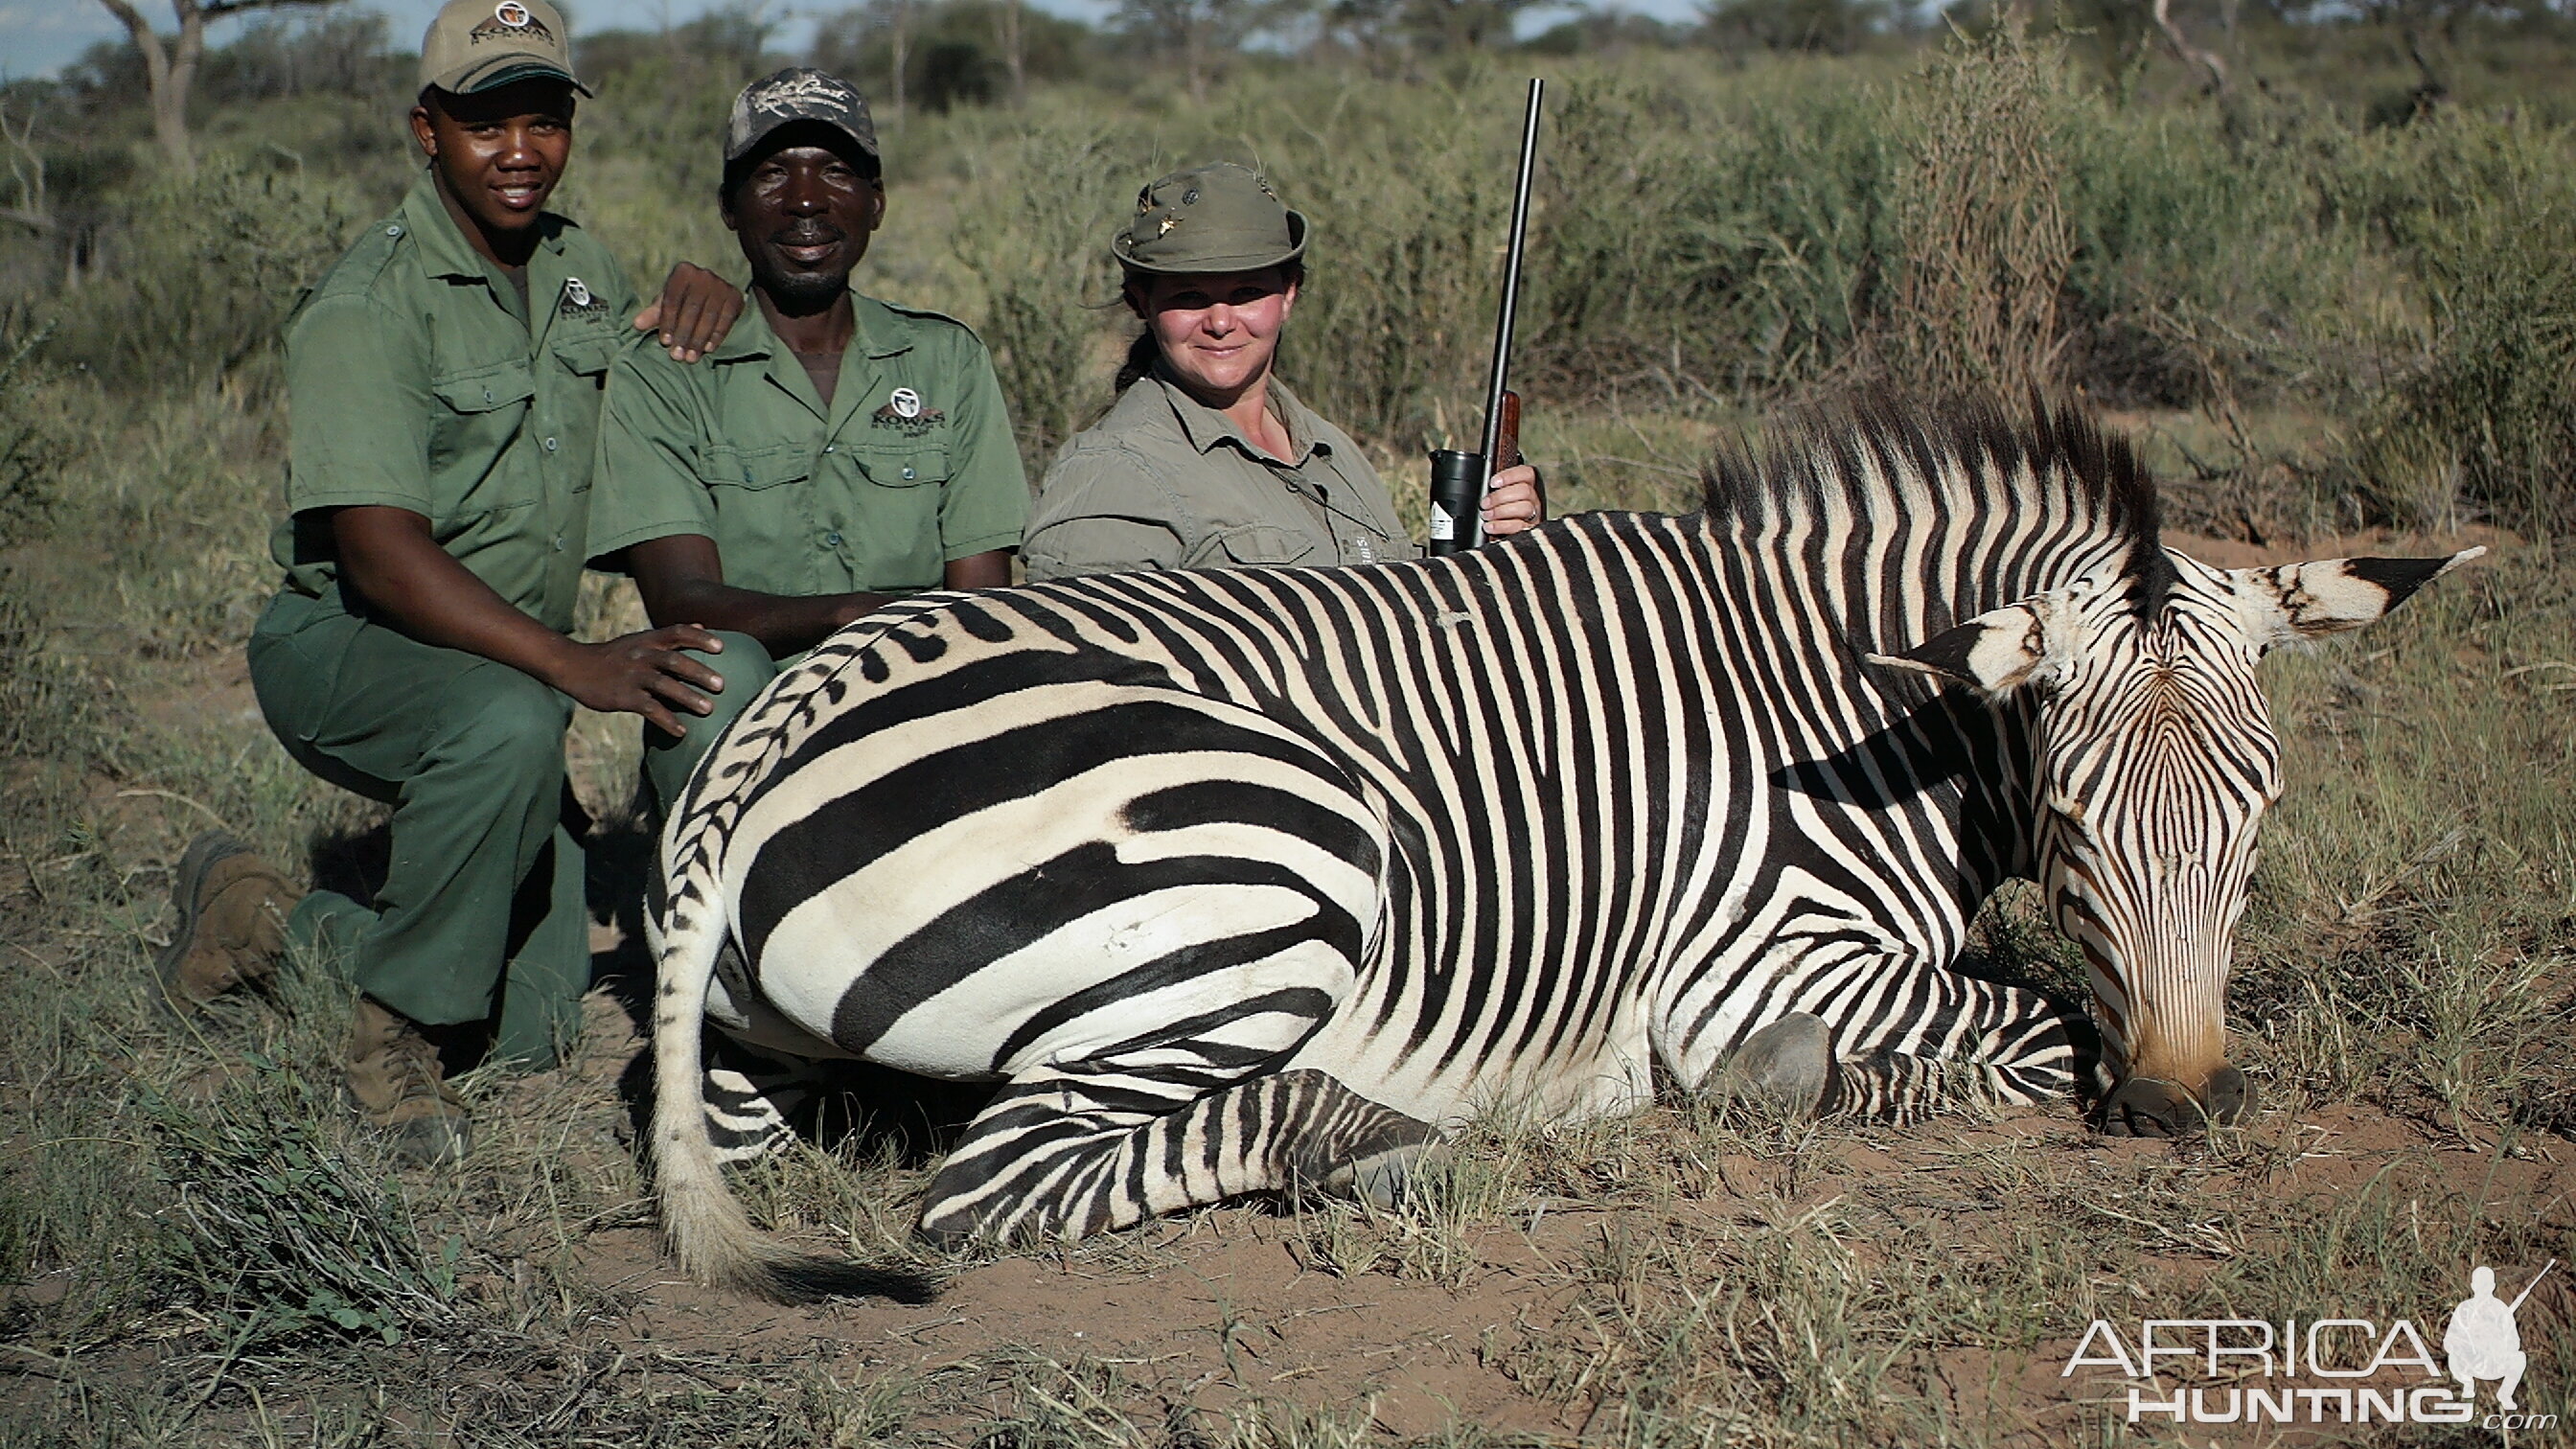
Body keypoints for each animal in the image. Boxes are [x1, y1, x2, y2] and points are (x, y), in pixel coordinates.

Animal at [644, 397, 2472, 1299]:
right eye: (2081, 816)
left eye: (2262, 810)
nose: (2181, 1104)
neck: (1857, 698)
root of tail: (784, 708)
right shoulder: (1761, 961)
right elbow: (2033, 1022)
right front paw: (1797, 1087)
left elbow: (2044, 1000)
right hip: (1282, 857)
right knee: (998, 1188)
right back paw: (1406, 1145)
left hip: (761, 1058)